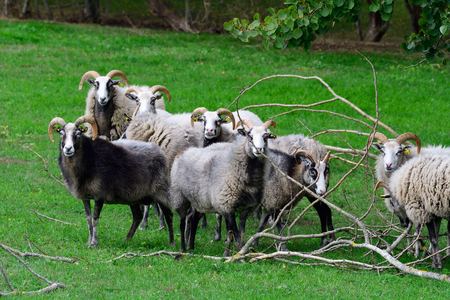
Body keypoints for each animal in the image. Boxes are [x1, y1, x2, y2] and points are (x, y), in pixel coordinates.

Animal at [48, 115, 174, 248]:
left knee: (168, 215)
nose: (68, 149)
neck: (89, 159)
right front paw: (88, 242)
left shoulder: (99, 195)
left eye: (77, 134)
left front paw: (94, 243)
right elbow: (88, 219)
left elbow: (95, 219)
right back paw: (127, 240)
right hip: (133, 195)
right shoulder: (85, 197)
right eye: (61, 133)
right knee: (137, 216)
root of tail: (160, 153)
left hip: (160, 191)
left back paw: (172, 243)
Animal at [171, 119, 278, 255]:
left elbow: (241, 231)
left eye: (266, 137)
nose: (259, 149)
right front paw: (229, 253)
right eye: (250, 136)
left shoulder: (246, 208)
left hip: (199, 200)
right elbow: (232, 231)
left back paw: (191, 246)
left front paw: (241, 251)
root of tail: (183, 152)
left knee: (193, 218)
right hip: (179, 195)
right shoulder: (226, 205)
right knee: (182, 221)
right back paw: (183, 249)